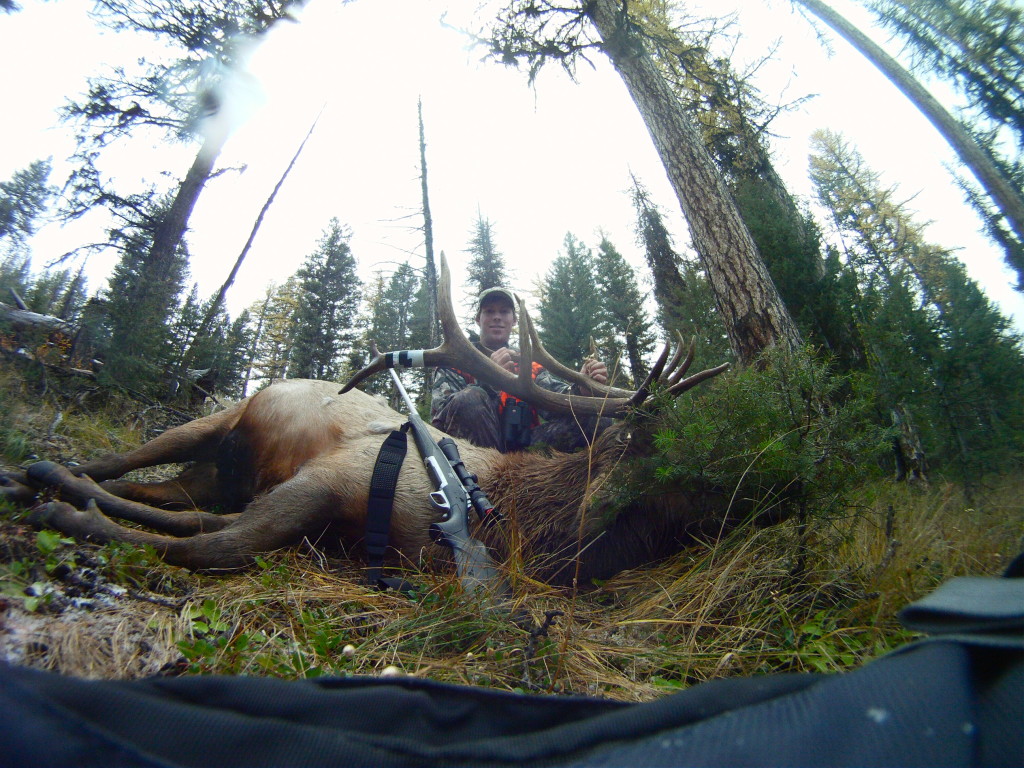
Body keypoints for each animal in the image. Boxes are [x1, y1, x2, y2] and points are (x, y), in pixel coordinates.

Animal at [1, 257, 777, 588]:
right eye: (681, 451)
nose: (772, 474)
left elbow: (206, 534)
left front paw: (64, 507)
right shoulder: (327, 480)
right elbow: (215, 546)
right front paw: (60, 513)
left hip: (212, 471)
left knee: (167, 493)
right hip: (220, 417)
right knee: (121, 464)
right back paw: (37, 471)